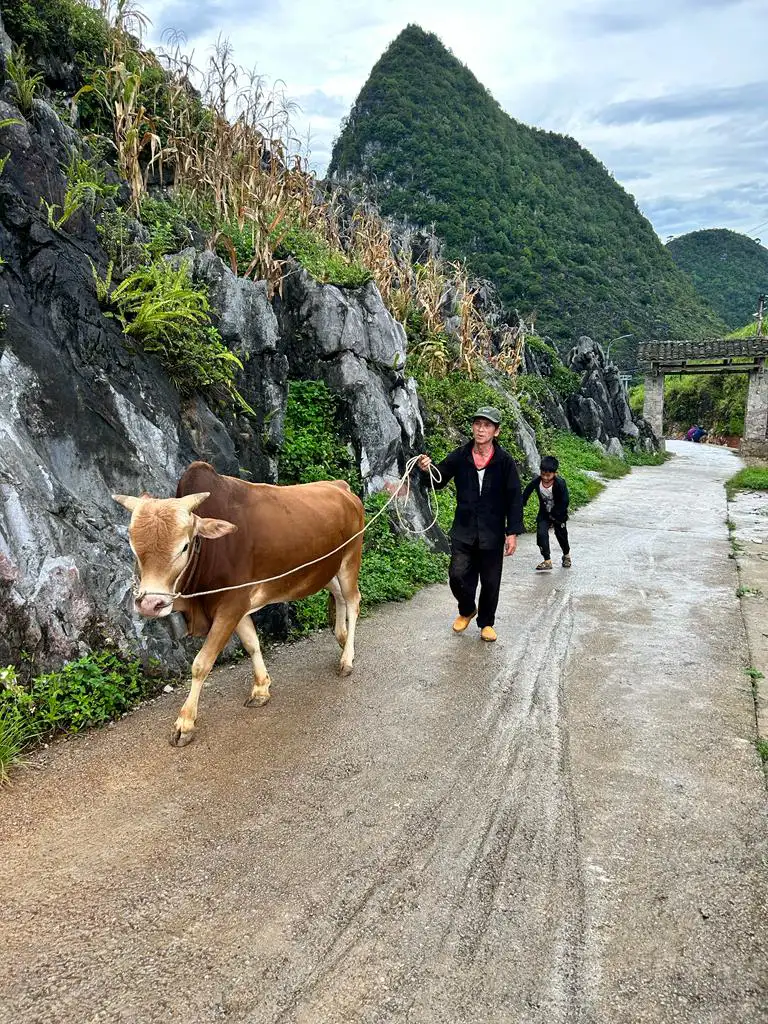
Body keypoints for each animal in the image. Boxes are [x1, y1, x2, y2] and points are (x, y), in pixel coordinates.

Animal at [114, 462, 366, 745]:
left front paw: (185, 723)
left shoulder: (230, 606)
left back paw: (347, 659)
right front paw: (261, 688)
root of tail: (341, 486)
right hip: (326, 569)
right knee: (339, 596)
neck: (210, 553)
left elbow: (201, 664)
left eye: (184, 546)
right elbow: (252, 644)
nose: (150, 604)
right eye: (134, 549)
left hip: (350, 559)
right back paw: (342, 639)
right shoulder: (238, 605)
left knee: (353, 601)